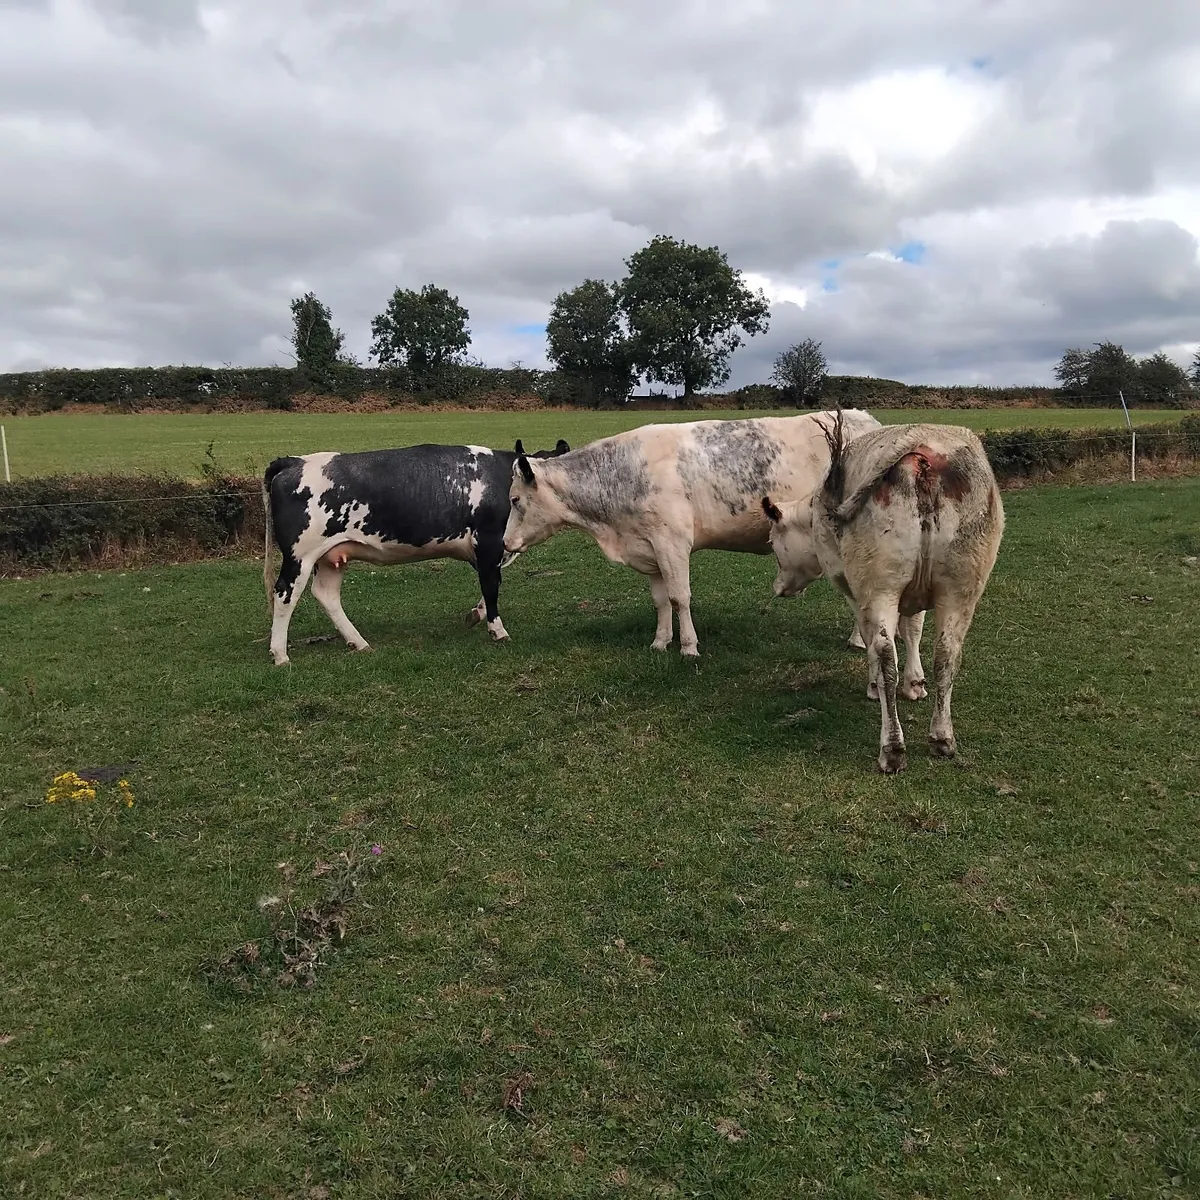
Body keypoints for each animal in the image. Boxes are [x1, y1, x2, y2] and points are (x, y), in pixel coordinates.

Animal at [261, 439, 570, 665]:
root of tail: (294, 461)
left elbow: (489, 586)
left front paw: (476, 615)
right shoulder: (489, 542)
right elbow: (491, 587)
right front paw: (498, 630)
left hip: (331, 556)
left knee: (326, 595)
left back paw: (359, 643)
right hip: (300, 556)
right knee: (285, 594)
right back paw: (280, 655)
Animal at [501, 410, 882, 657]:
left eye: (515, 500)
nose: (504, 543)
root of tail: (866, 419)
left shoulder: (672, 543)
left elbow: (679, 597)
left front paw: (687, 646)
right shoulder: (649, 548)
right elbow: (660, 600)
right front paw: (659, 642)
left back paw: (858, 641)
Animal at [762, 415, 1004, 773]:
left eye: (773, 542)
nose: (778, 588)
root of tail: (921, 446)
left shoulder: (853, 588)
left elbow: (872, 640)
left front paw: (874, 684)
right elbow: (914, 629)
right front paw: (915, 683)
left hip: (880, 584)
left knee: (885, 652)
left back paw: (892, 748)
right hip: (961, 585)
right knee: (947, 654)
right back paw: (942, 738)